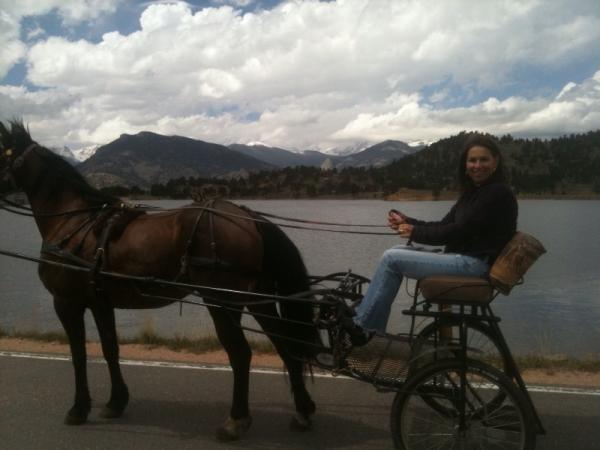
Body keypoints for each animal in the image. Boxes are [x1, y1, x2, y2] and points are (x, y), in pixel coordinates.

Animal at [0, 121, 322, 442]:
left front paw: (79, 409)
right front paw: (116, 402)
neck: (74, 223)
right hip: (258, 299)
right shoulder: (100, 302)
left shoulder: (67, 303)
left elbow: (78, 355)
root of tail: (249, 217)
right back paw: (302, 412)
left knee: (241, 354)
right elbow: (109, 349)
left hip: (222, 301)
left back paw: (237, 419)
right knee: (287, 347)